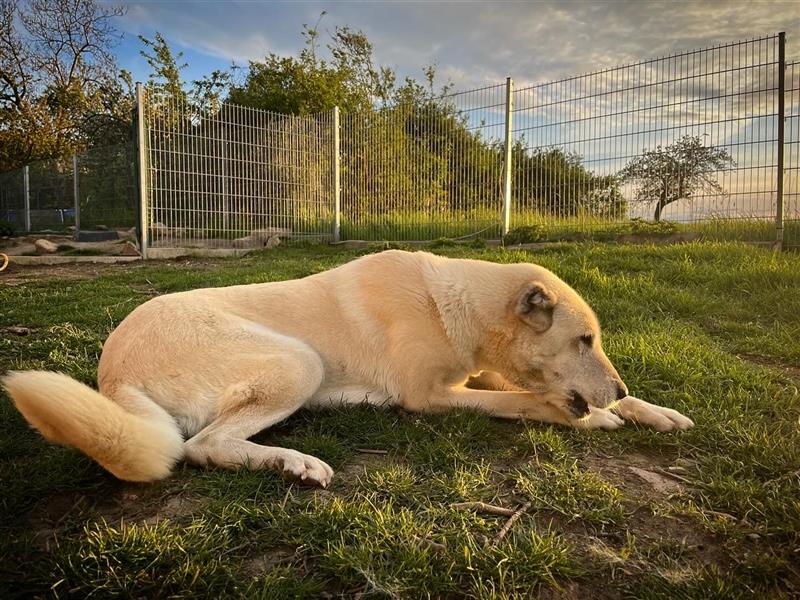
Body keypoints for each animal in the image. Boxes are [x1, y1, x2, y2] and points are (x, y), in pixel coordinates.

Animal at [1, 250, 692, 488]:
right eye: (584, 339)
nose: (619, 387)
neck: (457, 306)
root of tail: (111, 369)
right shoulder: (429, 396)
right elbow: (526, 402)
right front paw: (594, 417)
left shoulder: (480, 373)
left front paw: (651, 409)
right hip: (297, 360)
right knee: (202, 446)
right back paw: (294, 464)